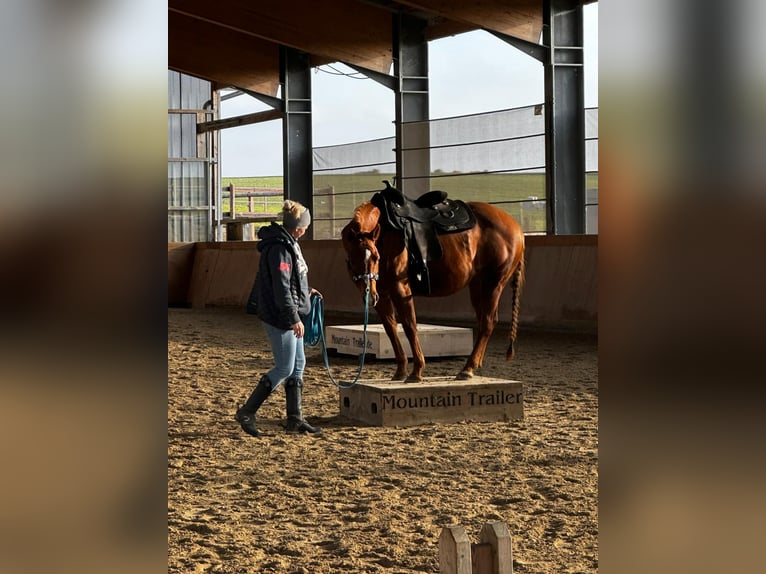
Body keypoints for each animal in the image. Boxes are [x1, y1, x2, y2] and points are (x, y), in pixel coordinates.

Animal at [341, 183, 525, 382]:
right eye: (352, 261)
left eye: (376, 257)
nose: (369, 294)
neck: (386, 233)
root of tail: (516, 227)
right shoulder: (382, 295)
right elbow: (391, 328)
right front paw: (400, 370)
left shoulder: (401, 290)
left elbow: (409, 326)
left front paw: (416, 371)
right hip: (478, 285)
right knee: (484, 319)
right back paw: (473, 365)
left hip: (494, 283)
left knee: (488, 321)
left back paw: (467, 368)